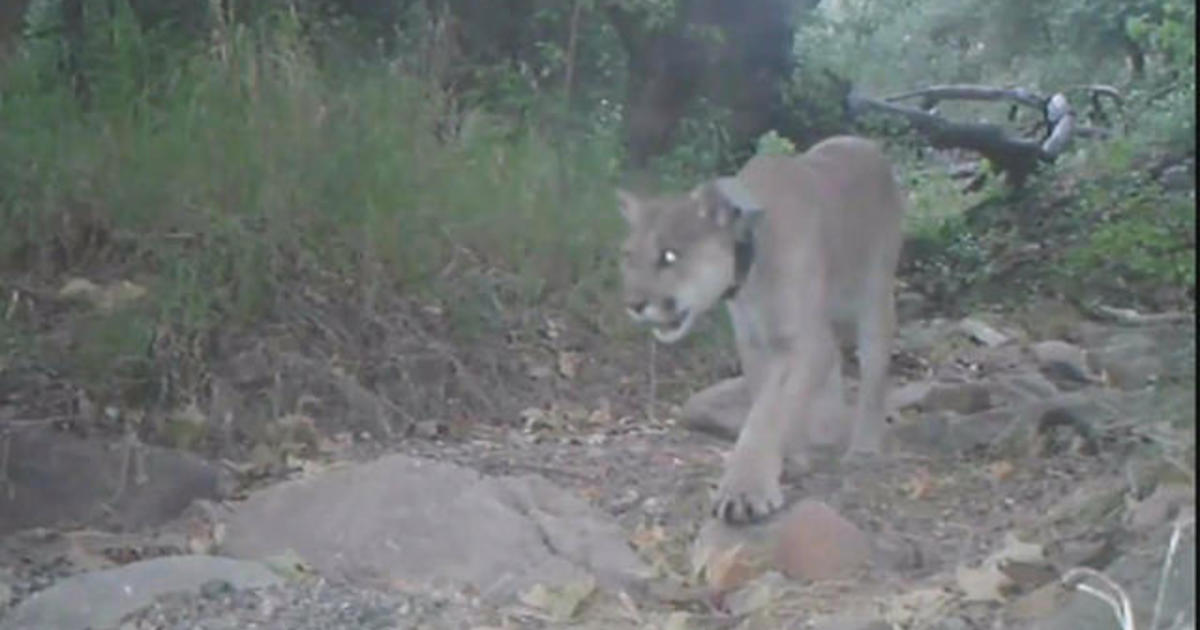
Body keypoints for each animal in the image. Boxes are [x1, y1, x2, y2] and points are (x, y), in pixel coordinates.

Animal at [614, 135, 902, 523]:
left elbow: (768, 411)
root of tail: (865, 144)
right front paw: (791, 458)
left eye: (669, 255)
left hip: (875, 295)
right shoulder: (753, 340)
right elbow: (768, 397)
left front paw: (746, 490)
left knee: (873, 369)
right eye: (628, 256)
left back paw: (863, 449)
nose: (634, 303)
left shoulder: (800, 341)